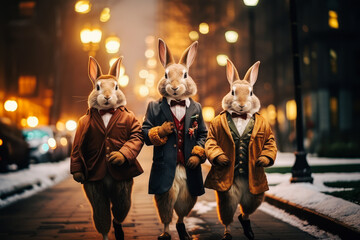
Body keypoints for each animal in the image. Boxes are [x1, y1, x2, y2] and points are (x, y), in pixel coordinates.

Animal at [70, 56, 143, 240]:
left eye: (116, 86)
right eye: (97, 87)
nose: (108, 97)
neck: (106, 112)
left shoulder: (133, 125)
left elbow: (135, 136)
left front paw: (117, 157)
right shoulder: (81, 130)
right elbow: (76, 148)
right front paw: (77, 174)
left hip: (122, 189)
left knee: (118, 211)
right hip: (95, 189)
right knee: (102, 215)